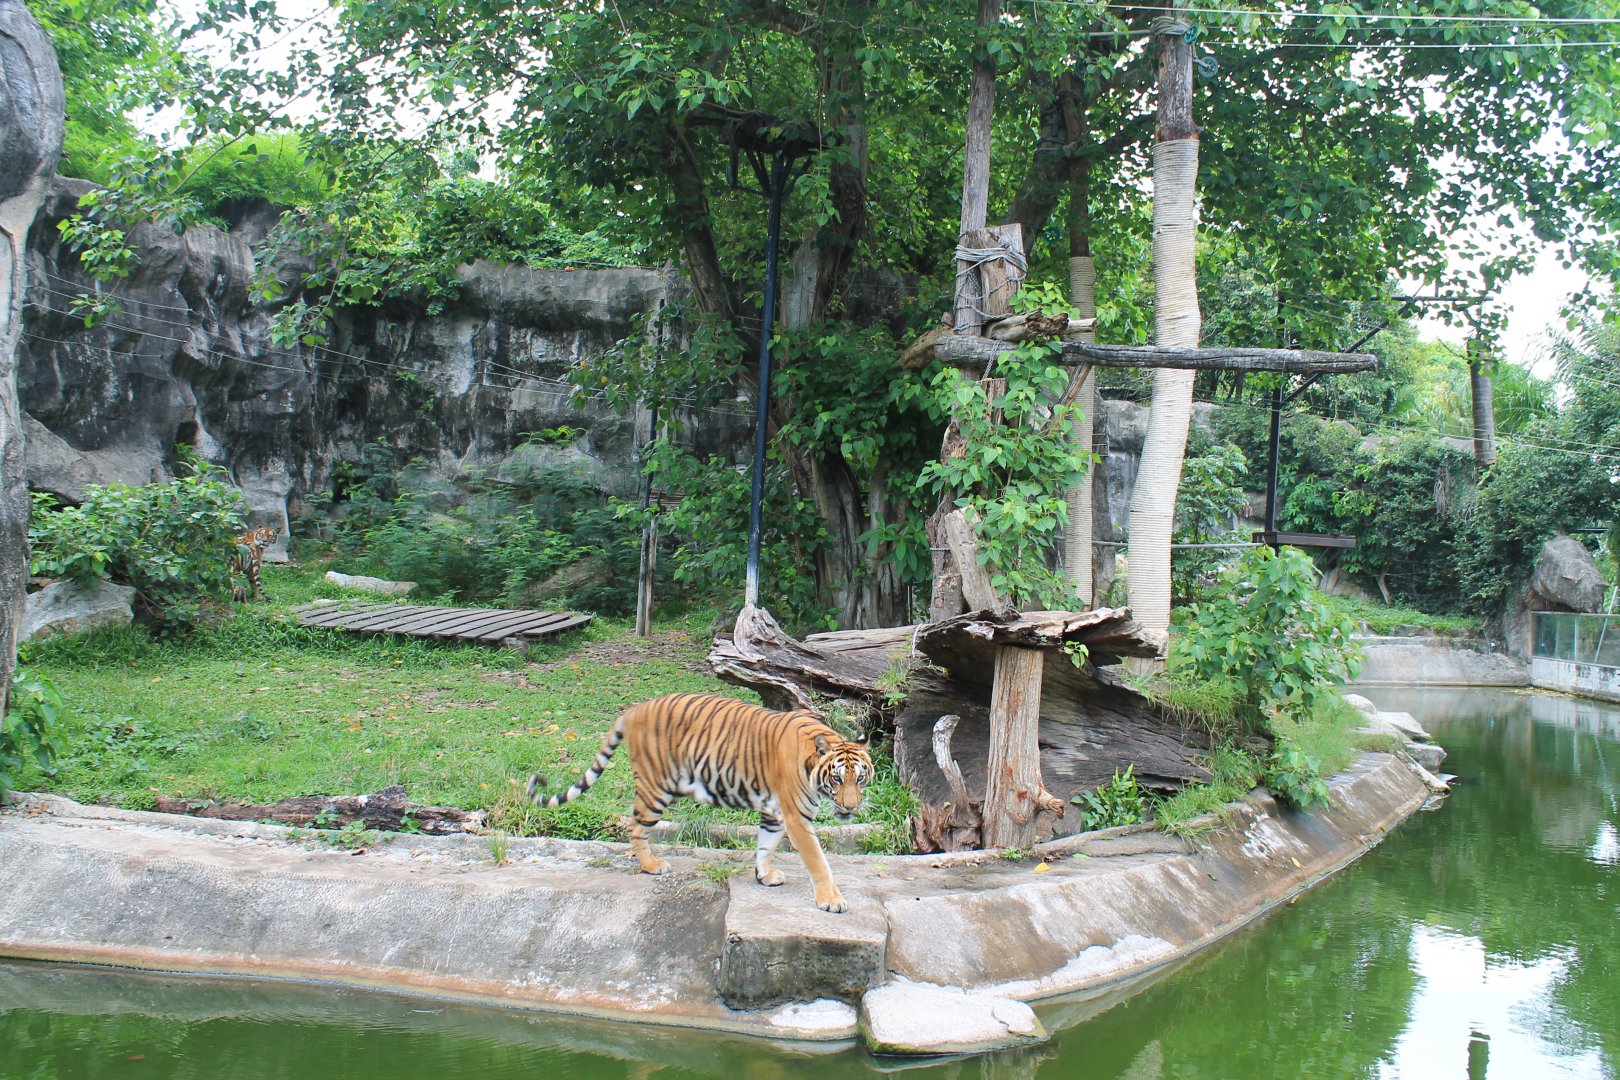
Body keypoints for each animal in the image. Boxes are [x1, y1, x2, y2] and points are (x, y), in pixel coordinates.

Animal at [527, 692, 873, 913]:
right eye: (837, 779)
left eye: (860, 778)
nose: (851, 807)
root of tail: (634, 709)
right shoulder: (796, 817)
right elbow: (818, 860)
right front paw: (831, 900)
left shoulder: (775, 813)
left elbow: (765, 845)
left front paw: (764, 875)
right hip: (657, 788)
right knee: (634, 825)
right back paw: (651, 865)